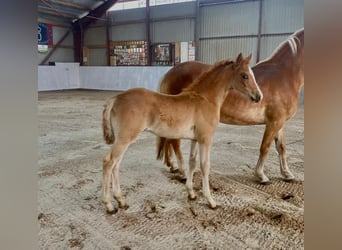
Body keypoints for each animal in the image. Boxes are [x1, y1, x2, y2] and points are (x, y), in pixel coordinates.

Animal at [101, 53, 262, 213]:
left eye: (252, 74)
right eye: (244, 75)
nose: (258, 96)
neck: (206, 99)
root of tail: (115, 99)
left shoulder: (195, 139)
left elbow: (192, 162)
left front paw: (191, 193)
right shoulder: (206, 139)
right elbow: (205, 166)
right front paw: (210, 201)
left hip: (123, 140)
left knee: (116, 165)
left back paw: (121, 201)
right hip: (124, 139)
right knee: (109, 163)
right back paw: (109, 205)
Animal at [156, 27, 304, 184]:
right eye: (245, 76)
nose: (259, 97)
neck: (285, 76)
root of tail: (169, 73)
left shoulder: (279, 122)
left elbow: (281, 147)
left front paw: (287, 174)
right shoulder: (274, 122)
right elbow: (265, 147)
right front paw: (261, 175)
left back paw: (173, 166)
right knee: (174, 142)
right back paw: (183, 172)